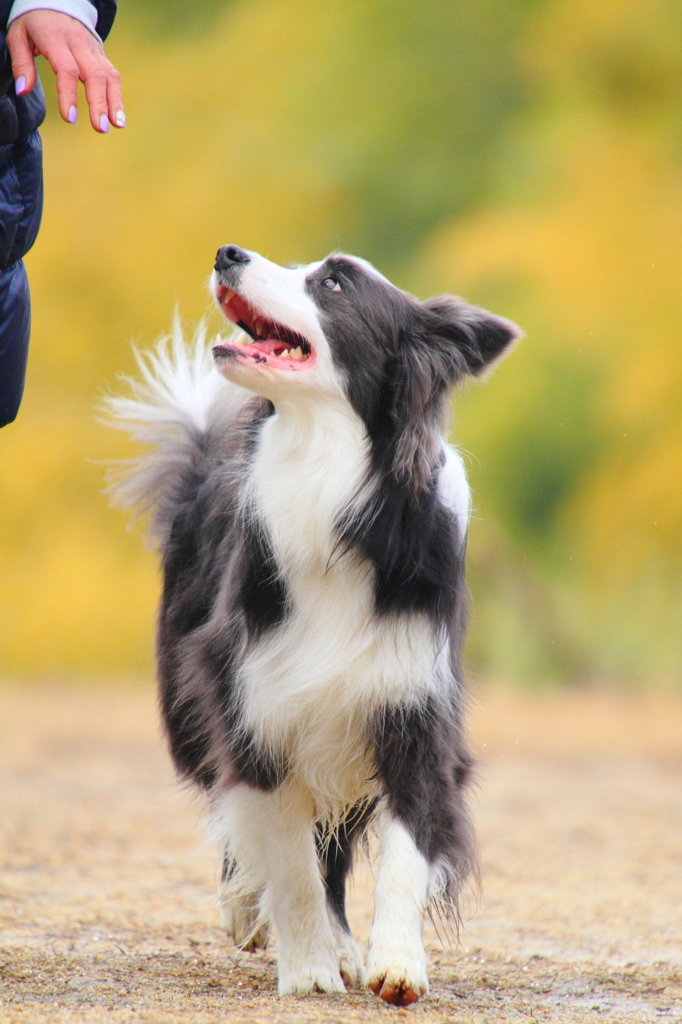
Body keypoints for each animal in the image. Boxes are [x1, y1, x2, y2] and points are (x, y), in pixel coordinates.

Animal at [109, 245, 518, 999]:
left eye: (332, 283)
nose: (227, 253)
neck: (327, 479)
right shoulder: (257, 701)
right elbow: (289, 855)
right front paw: (306, 970)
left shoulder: (411, 703)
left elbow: (405, 851)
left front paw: (396, 964)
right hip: (191, 696)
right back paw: (251, 909)